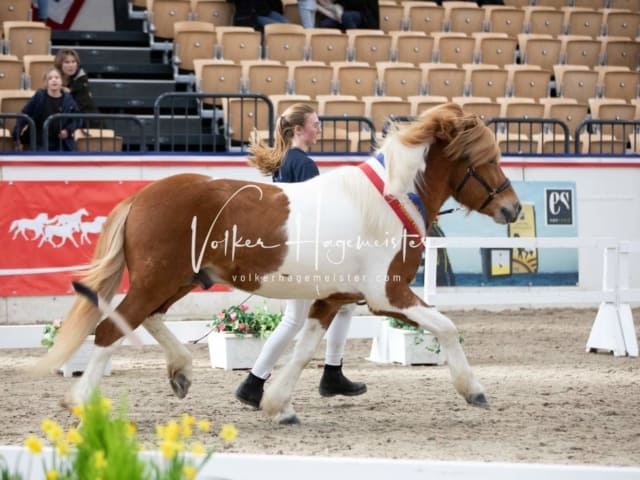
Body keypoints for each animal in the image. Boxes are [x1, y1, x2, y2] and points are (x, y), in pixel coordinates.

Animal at [35, 103, 524, 422]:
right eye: (485, 158)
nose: (514, 209)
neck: (389, 200)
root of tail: (141, 196)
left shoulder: (333, 298)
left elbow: (305, 348)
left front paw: (276, 404)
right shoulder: (388, 294)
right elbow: (447, 327)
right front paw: (474, 391)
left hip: (180, 280)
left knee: (148, 319)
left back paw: (181, 372)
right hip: (158, 279)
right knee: (111, 328)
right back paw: (80, 401)